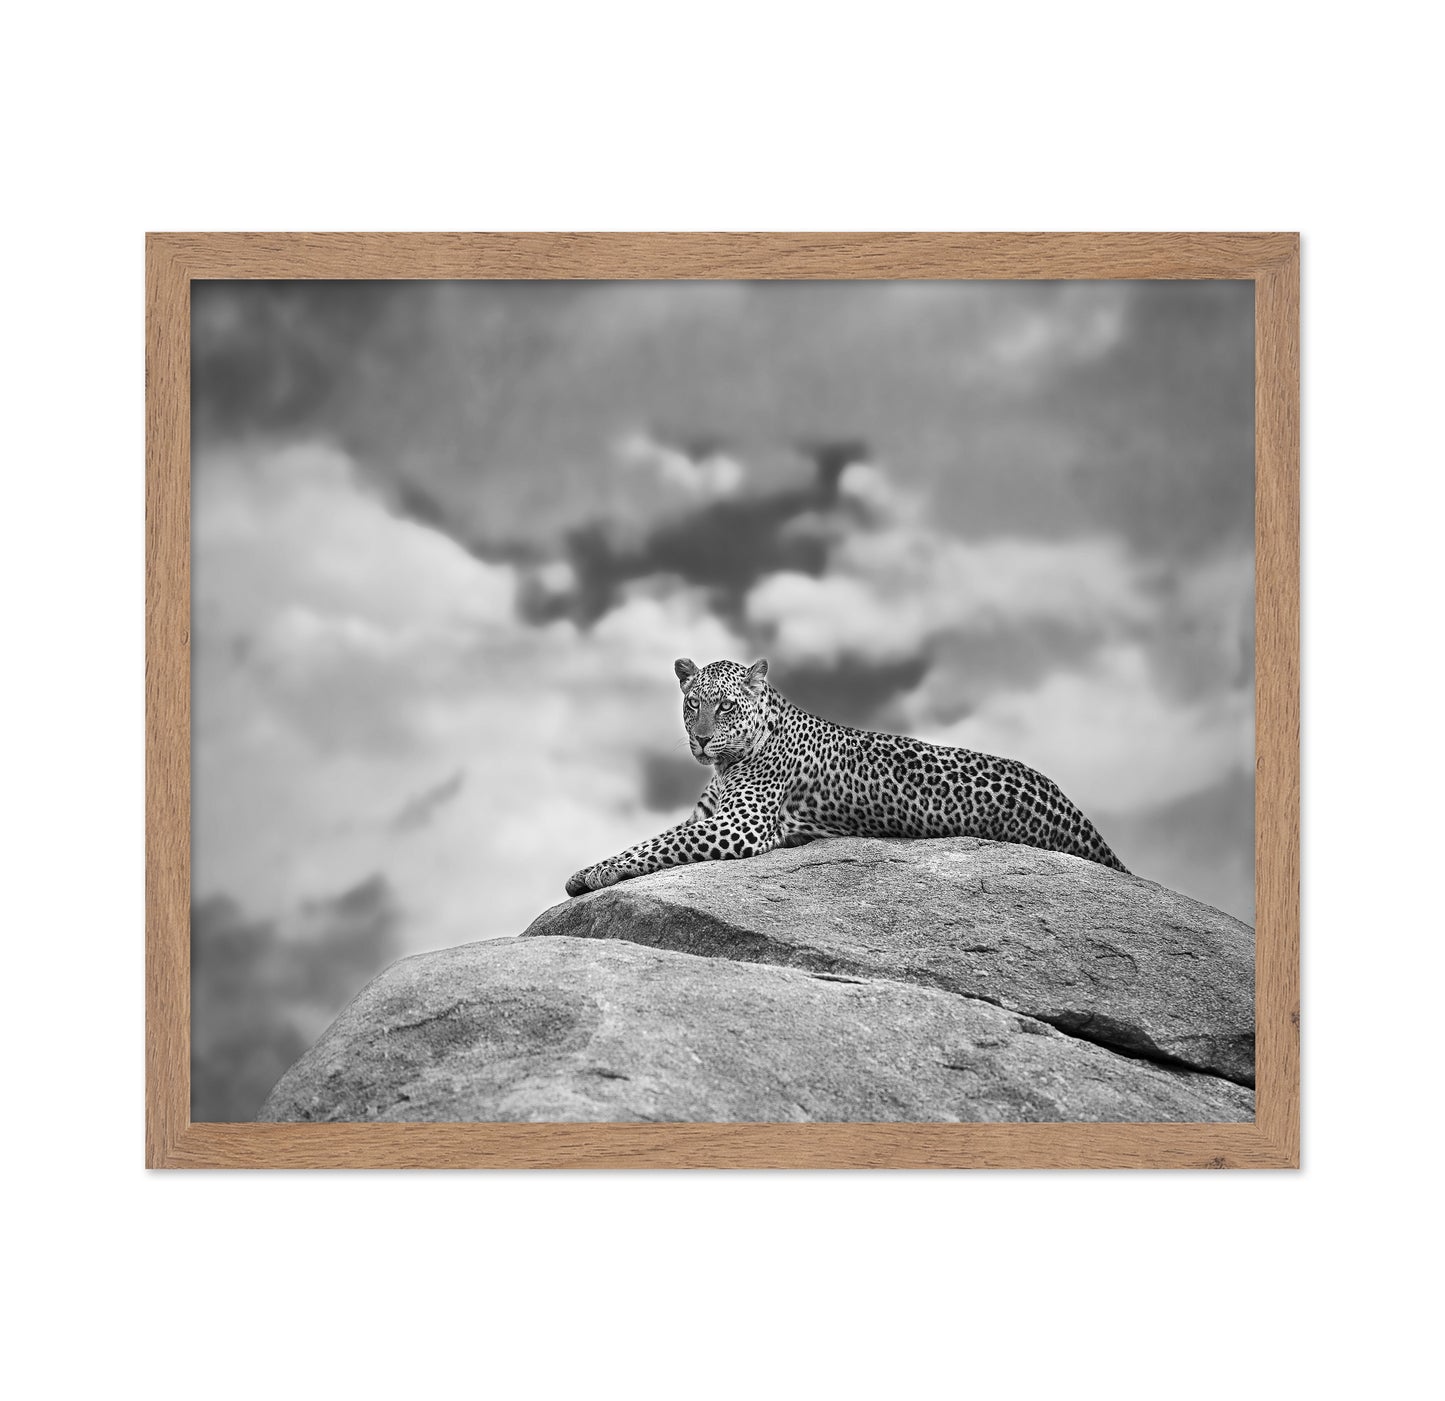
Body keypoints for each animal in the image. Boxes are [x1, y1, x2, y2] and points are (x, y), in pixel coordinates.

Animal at [565, 657, 1128, 896]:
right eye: (691, 706)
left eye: (724, 707)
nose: (701, 740)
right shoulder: (708, 816)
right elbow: (653, 839)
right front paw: (589, 870)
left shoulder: (738, 825)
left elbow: (657, 845)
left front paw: (593, 873)